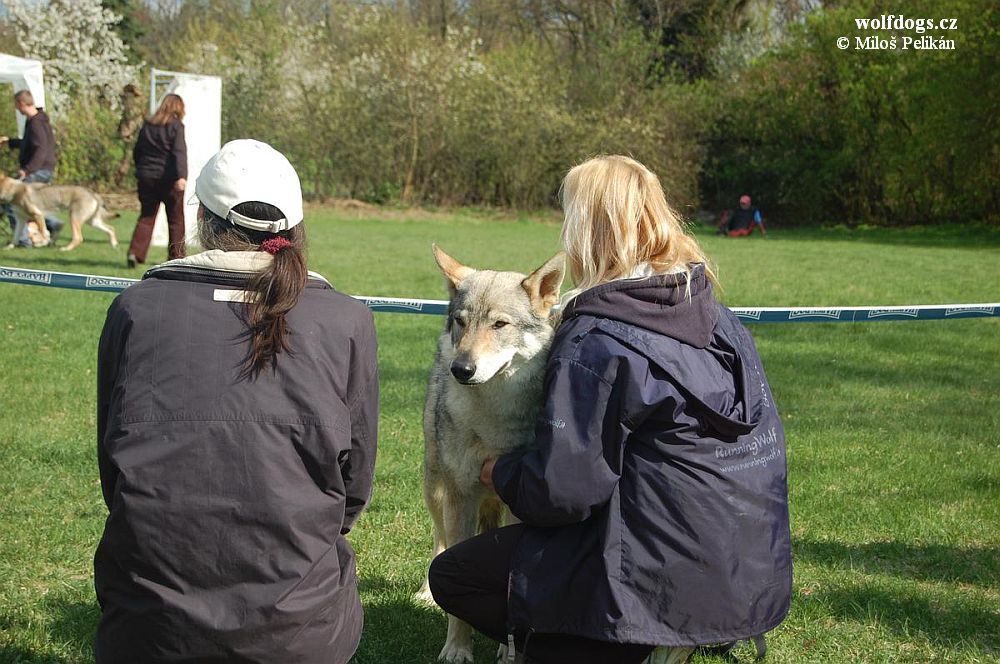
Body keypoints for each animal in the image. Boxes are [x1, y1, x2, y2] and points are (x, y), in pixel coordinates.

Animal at [418, 245, 568, 664]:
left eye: (499, 324)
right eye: (461, 322)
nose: (461, 369)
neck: (492, 420)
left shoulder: (522, 506)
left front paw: (508, 650)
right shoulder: (461, 499)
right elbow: (449, 567)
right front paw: (456, 649)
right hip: (436, 490)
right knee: (438, 544)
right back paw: (426, 593)